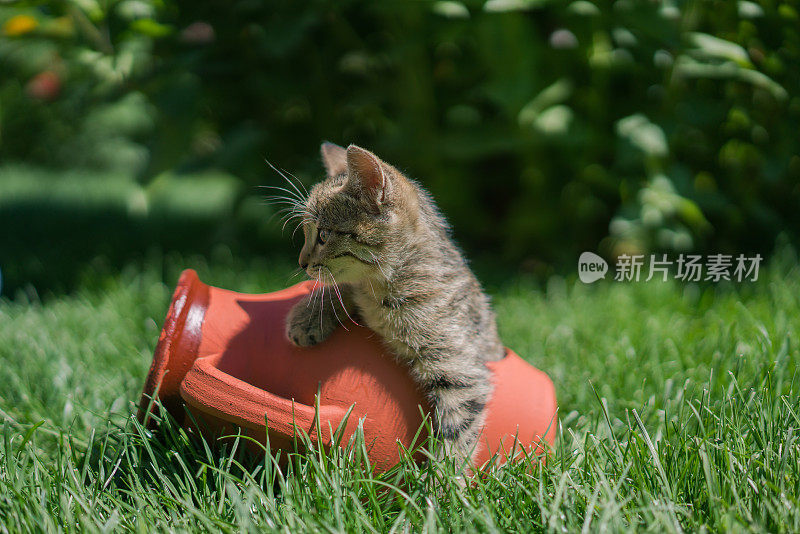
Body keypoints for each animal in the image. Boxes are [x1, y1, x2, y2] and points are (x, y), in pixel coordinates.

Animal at [284, 143, 504, 464]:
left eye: (323, 235)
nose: (301, 263)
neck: (382, 288)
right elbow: (342, 287)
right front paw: (307, 316)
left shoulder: (462, 370)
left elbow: (458, 431)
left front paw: (443, 476)